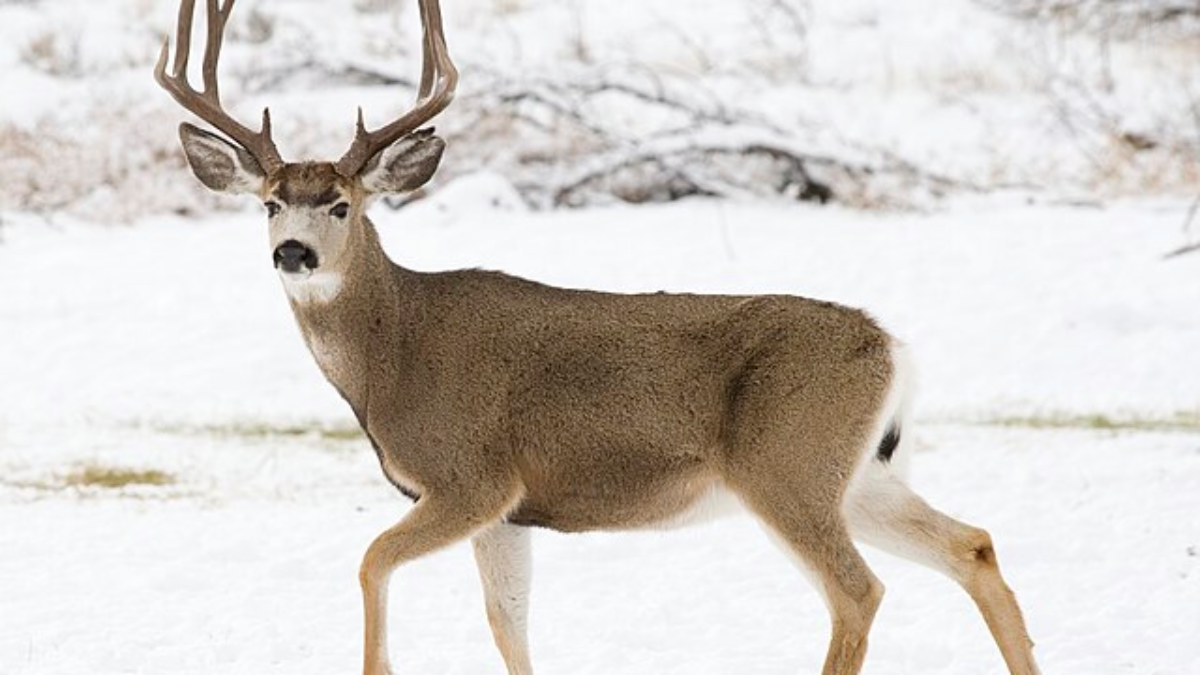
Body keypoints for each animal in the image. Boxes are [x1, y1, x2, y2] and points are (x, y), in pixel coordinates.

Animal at [157, 1, 1041, 672]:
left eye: (341, 204)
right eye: (270, 202)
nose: (292, 253)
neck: (392, 355)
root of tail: (892, 346)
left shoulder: (470, 476)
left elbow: (372, 560)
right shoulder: (510, 512)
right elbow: (508, 623)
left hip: (788, 465)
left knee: (858, 590)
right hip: (860, 474)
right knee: (974, 545)